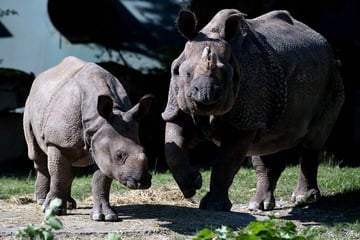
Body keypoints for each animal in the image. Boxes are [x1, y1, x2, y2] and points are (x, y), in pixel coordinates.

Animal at [23, 55, 153, 220]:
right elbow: (58, 175)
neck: (97, 121)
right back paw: (41, 201)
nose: (142, 182)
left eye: (144, 150)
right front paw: (52, 211)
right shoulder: (58, 143)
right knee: (37, 154)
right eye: (119, 155)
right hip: (30, 106)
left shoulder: (101, 146)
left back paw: (69, 204)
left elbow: (101, 180)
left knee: (70, 168)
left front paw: (104, 216)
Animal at [162, 9, 344, 211]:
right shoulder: (176, 109)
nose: (206, 94)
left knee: (314, 139)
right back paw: (259, 205)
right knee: (271, 141)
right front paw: (192, 185)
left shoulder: (245, 121)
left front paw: (214, 206)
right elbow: (173, 149)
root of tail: (323, 40)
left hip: (332, 75)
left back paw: (303, 199)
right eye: (186, 73)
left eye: (226, 74)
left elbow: (225, 162)